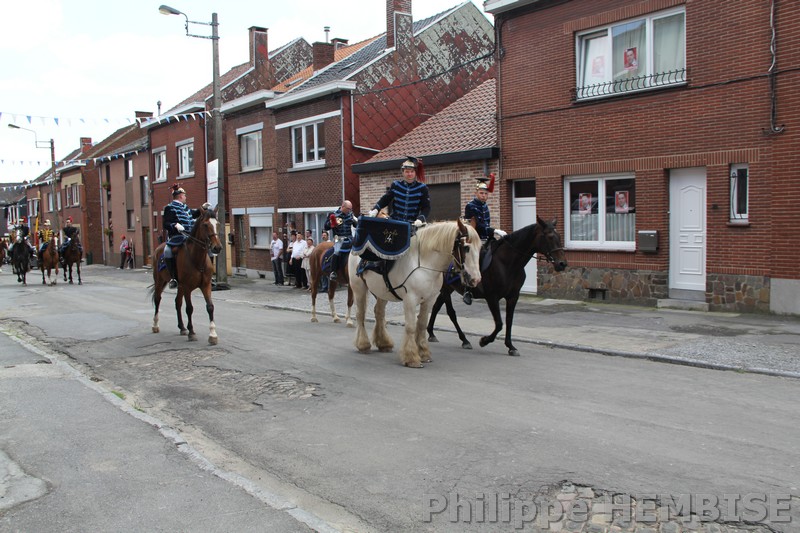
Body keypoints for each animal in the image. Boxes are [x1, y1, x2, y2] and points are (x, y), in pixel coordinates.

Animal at [149, 207, 223, 344]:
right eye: (205, 225)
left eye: (218, 224)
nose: (217, 247)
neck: (197, 259)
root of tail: (158, 248)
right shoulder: (187, 287)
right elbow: (189, 308)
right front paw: (192, 332)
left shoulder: (206, 285)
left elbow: (210, 307)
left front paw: (213, 335)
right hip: (160, 281)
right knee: (157, 299)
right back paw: (155, 325)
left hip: (180, 287)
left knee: (177, 302)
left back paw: (182, 327)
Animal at [349, 219, 482, 368]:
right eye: (466, 247)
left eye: (480, 247)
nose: (475, 279)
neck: (425, 264)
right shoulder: (410, 299)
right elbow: (411, 327)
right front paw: (411, 357)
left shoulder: (429, 300)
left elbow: (422, 324)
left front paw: (423, 353)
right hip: (358, 288)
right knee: (360, 315)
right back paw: (363, 345)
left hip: (382, 292)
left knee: (379, 313)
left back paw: (384, 343)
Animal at [427, 216, 568, 356]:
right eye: (549, 236)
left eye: (559, 236)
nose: (562, 264)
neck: (507, 262)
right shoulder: (492, 297)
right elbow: (499, 323)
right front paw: (484, 341)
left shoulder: (513, 296)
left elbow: (509, 320)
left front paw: (511, 346)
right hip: (446, 288)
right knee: (451, 313)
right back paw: (464, 340)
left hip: (448, 288)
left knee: (436, 306)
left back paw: (431, 333)